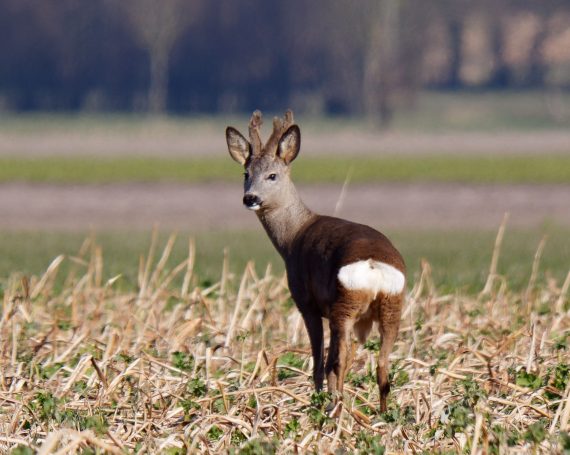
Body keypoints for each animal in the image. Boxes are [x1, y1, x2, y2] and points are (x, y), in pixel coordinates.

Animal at [225, 110, 406, 412]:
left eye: (272, 175)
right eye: (246, 173)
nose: (250, 198)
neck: (293, 236)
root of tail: (373, 267)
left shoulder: (306, 301)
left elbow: (319, 361)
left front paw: (317, 401)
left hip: (344, 305)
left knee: (339, 361)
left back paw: (335, 410)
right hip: (392, 306)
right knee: (381, 366)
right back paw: (382, 416)